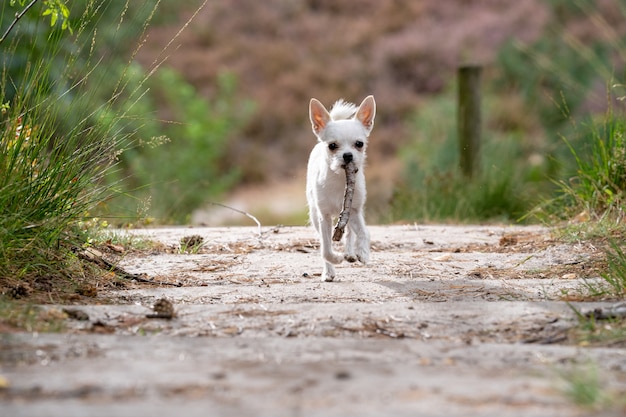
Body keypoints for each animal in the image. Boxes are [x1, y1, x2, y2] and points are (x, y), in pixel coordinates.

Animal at [304, 96, 372, 282]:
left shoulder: (354, 210)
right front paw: (334, 260)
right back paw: (330, 270)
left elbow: (363, 233)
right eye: (332, 146)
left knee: (350, 233)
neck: (340, 179)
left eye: (359, 144)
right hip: (315, 215)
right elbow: (326, 249)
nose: (348, 155)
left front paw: (363, 252)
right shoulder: (324, 217)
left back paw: (350, 252)